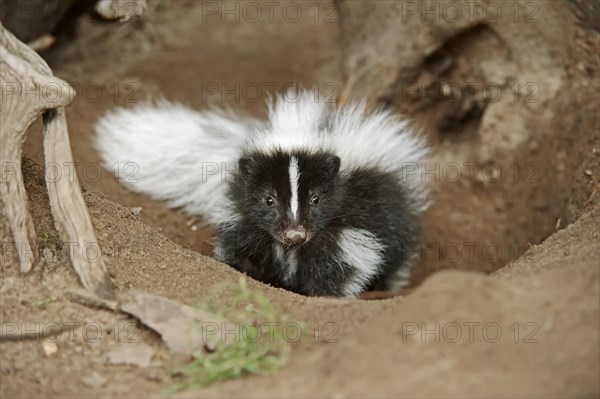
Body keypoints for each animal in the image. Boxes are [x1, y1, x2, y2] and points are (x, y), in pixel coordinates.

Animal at [94, 90, 428, 296]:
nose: (295, 234)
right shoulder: (245, 223)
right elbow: (241, 253)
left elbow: (341, 268)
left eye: (316, 199)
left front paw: (325, 294)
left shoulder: (352, 229)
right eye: (268, 199)